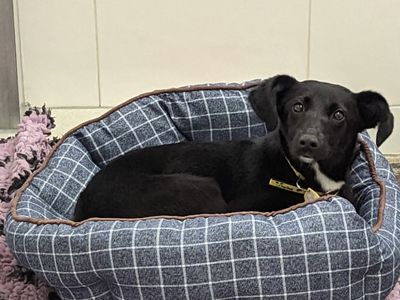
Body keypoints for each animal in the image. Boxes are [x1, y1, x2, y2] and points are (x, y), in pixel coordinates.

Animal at [72, 75, 394, 220]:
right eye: (297, 107)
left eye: (339, 115)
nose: (308, 142)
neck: (302, 175)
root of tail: (83, 205)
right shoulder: (241, 207)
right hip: (200, 189)